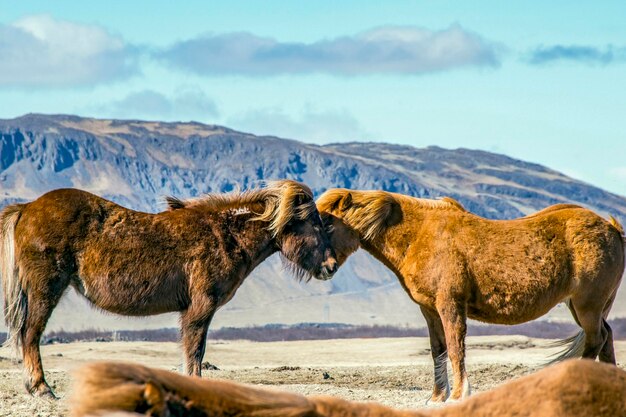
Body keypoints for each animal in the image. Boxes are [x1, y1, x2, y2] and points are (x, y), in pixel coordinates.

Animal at [0, 180, 336, 398]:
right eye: (315, 224)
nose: (331, 266)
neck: (225, 234)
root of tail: (27, 208)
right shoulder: (200, 308)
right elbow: (195, 350)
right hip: (45, 290)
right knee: (30, 335)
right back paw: (41, 388)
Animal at [316, 188, 624, 400]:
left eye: (327, 224)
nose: (323, 268)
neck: (419, 235)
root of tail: (613, 228)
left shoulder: (450, 304)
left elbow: (455, 348)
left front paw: (457, 395)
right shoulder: (429, 310)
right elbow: (438, 350)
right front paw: (437, 397)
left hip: (587, 306)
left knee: (597, 339)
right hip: (583, 307)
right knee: (606, 337)